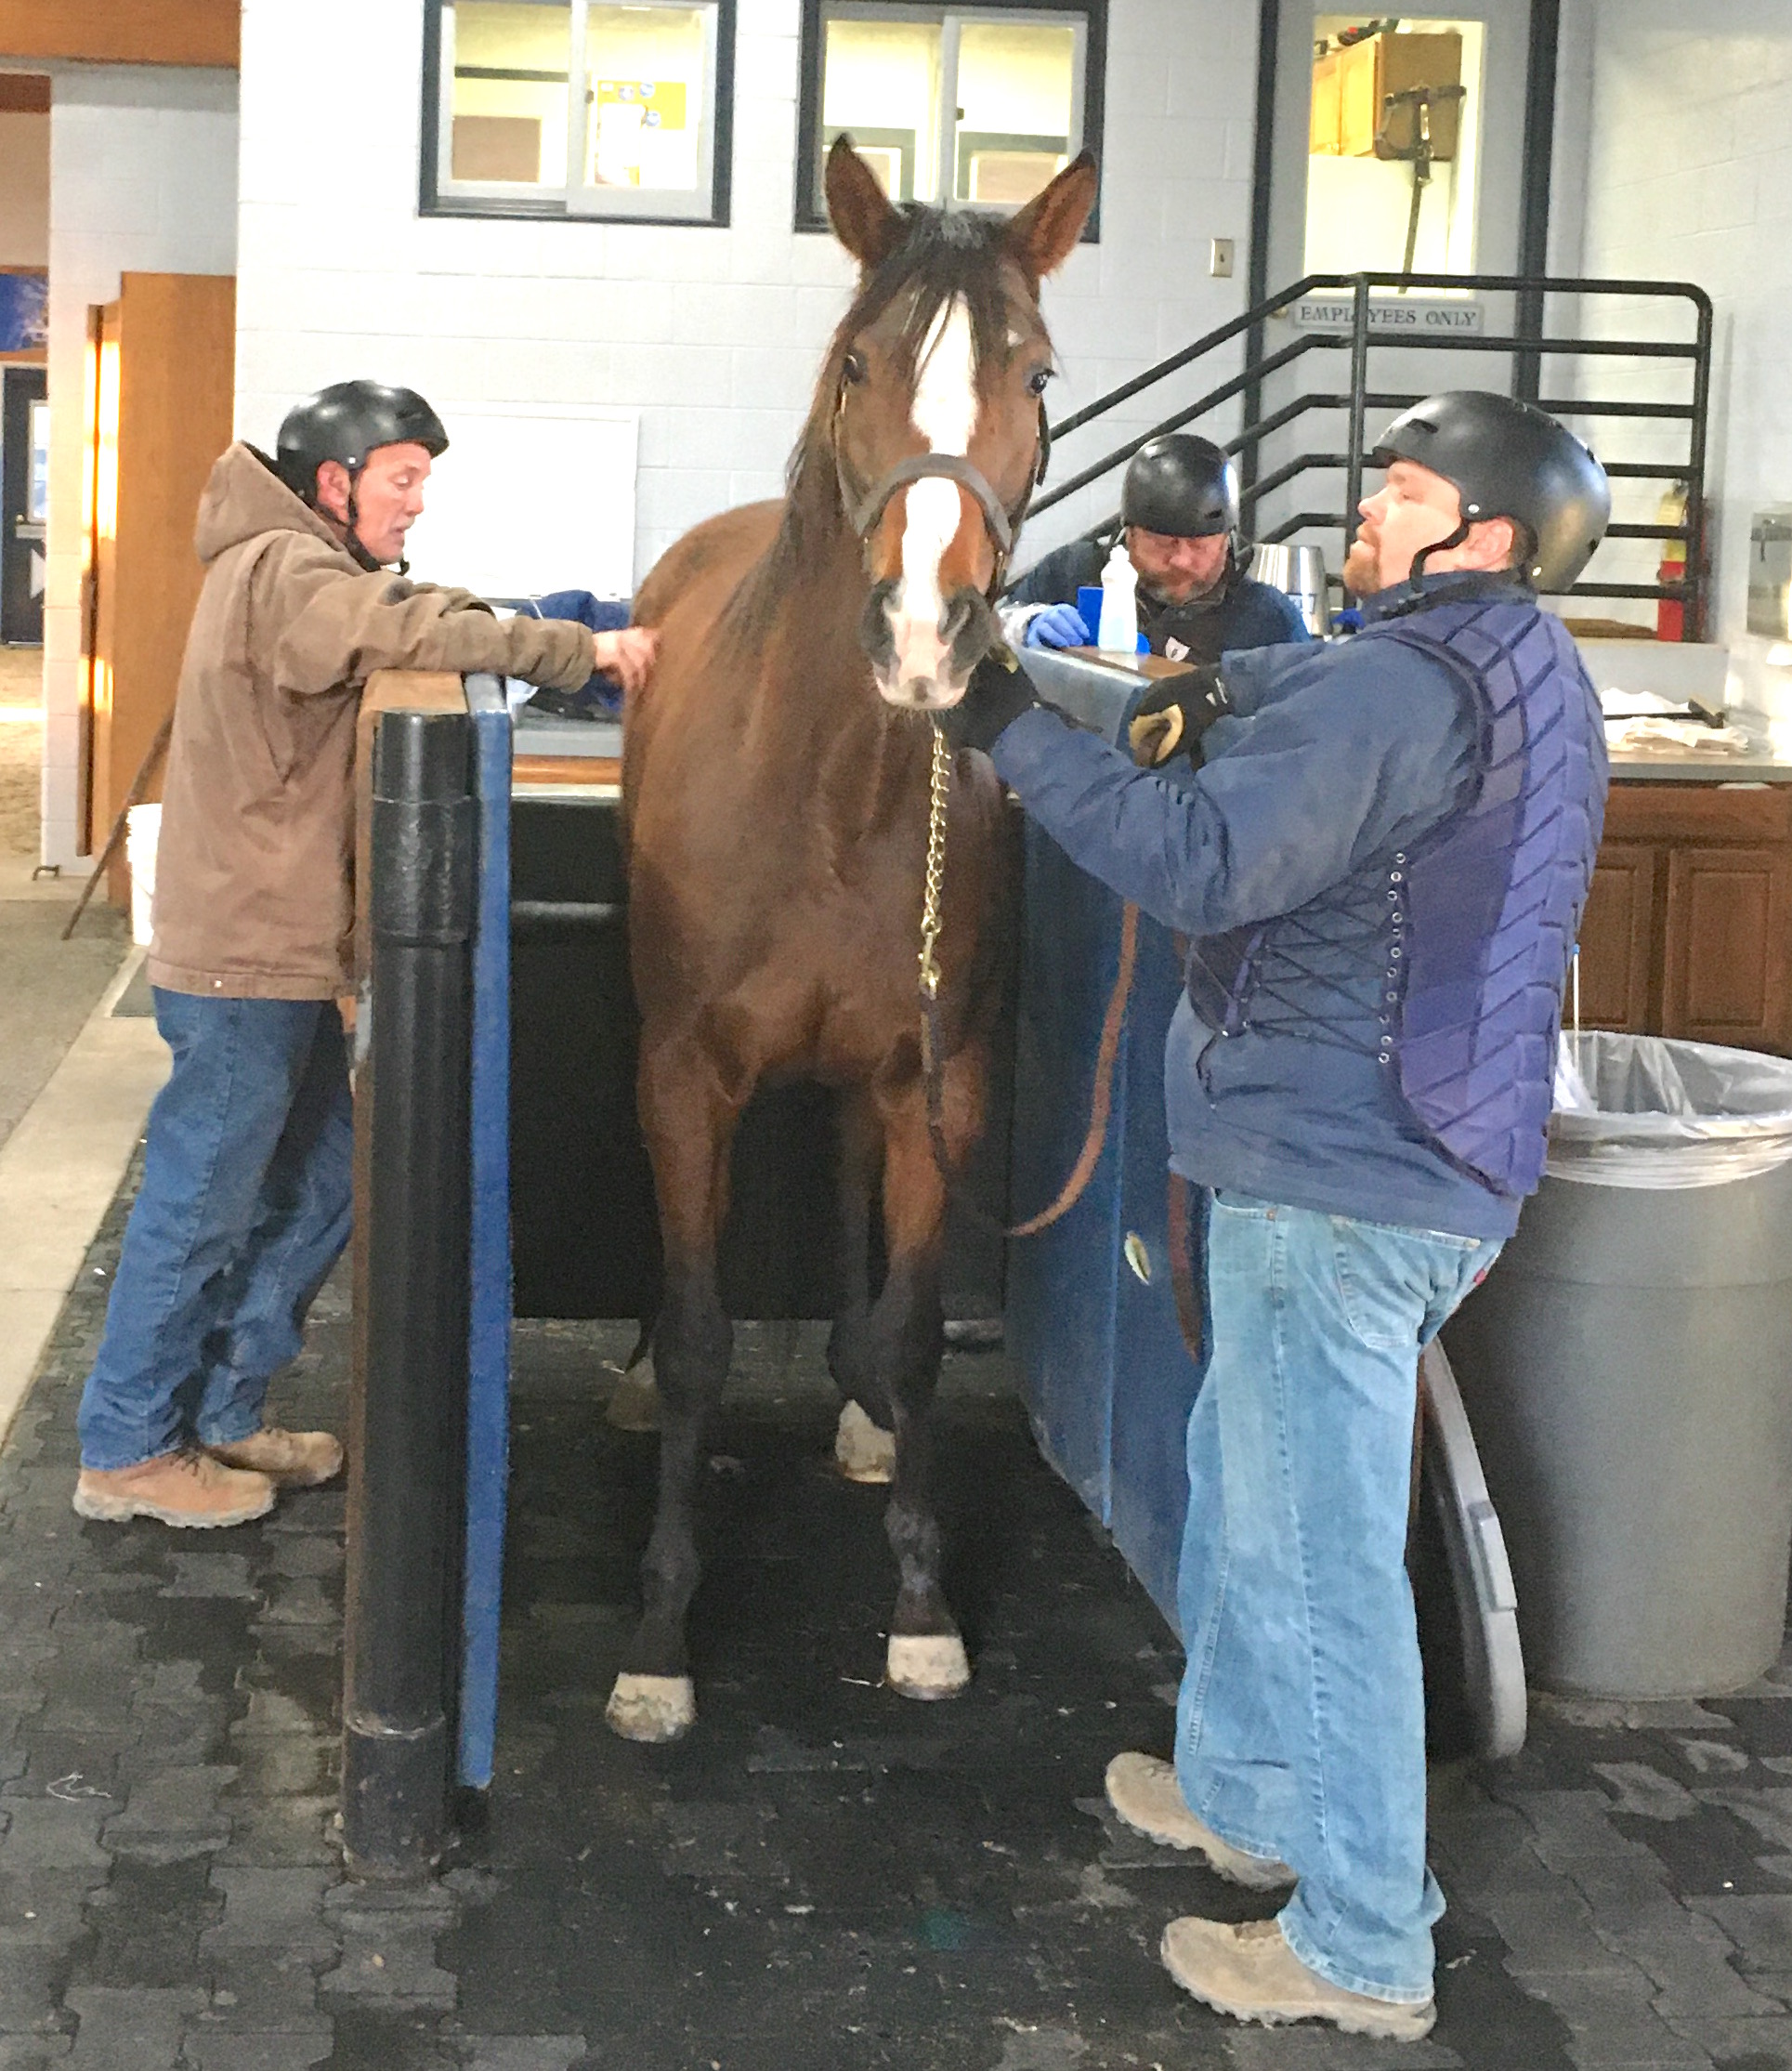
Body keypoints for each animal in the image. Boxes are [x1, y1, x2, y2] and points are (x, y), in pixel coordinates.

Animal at [608, 138, 1093, 1739]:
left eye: (1037, 372)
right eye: (861, 361)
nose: (928, 639)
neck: (825, 788)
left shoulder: (937, 1082)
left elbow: (922, 1333)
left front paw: (923, 1604)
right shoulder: (684, 1077)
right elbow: (702, 1337)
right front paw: (660, 1632)